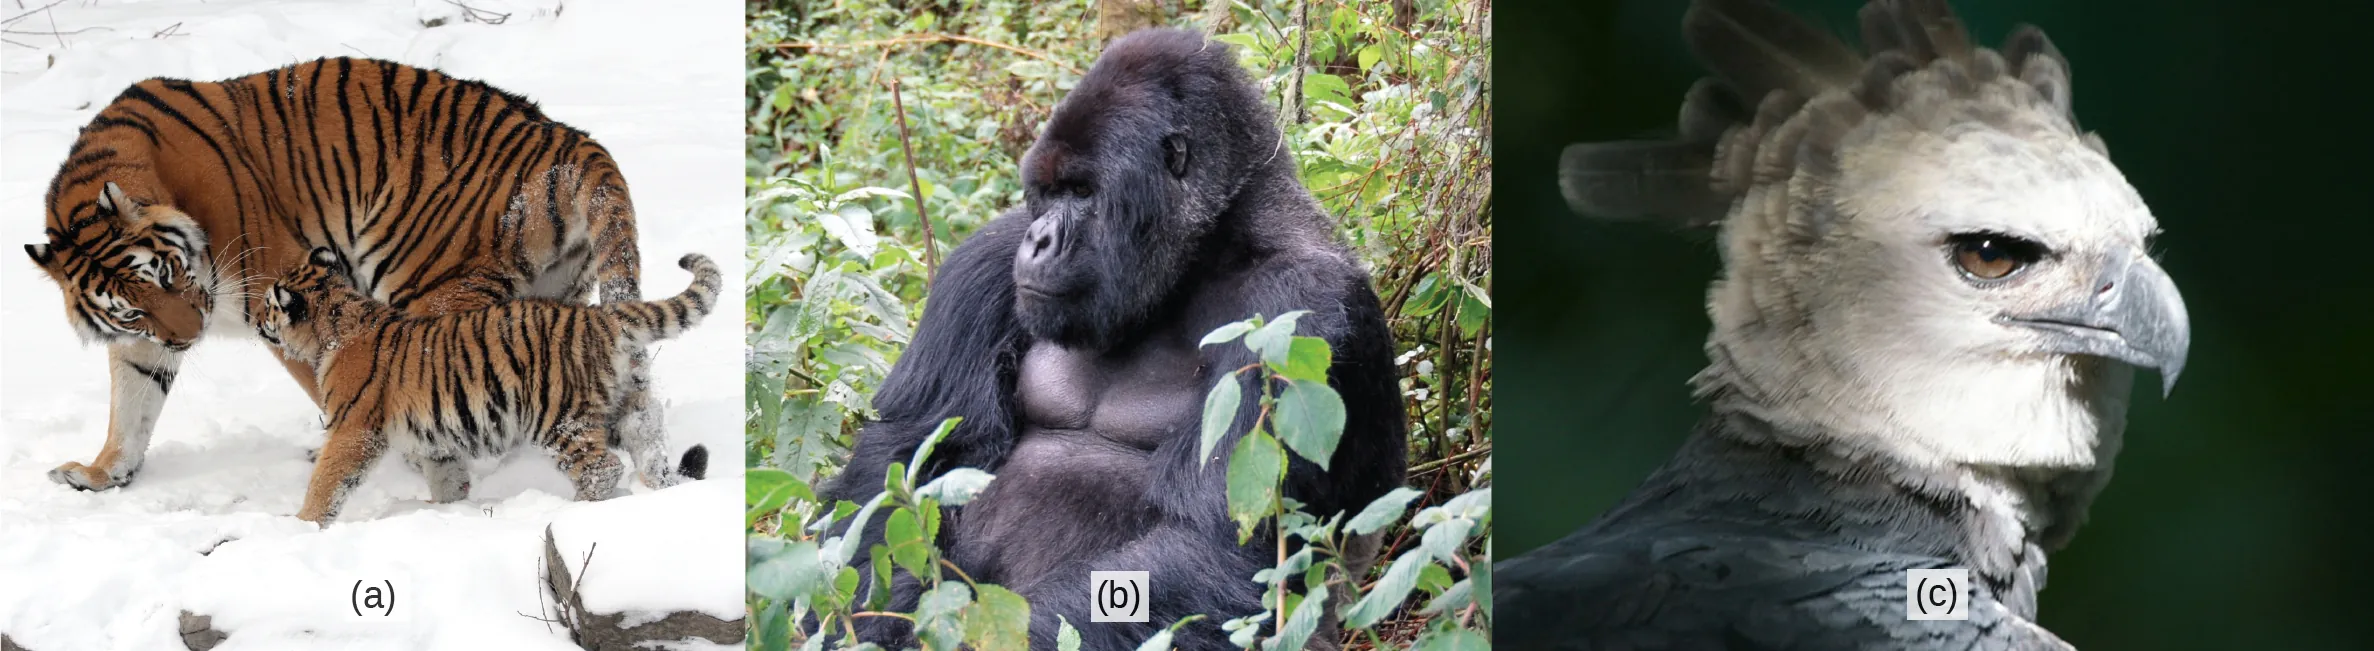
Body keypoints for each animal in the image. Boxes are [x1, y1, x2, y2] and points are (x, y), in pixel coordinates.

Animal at [21, 57, 680, 493]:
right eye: (133, 308)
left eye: (167, 274)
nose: (189, 337)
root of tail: (571, 140)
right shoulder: (142, 341)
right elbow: (130, 405)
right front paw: (101, 473)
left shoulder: (278, 290)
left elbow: (334, 385)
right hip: (555, 296)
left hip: (432, 285)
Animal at [256, 247, 721, 525]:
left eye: (268, 305)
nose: (257, 320)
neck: (335, 323)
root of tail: (599, 316)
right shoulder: (434, 438)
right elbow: (446, 477)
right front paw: (445, 509)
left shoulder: (353, 429)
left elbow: (327, 481)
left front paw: (302, 525)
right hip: (627, 406)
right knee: (651, 449)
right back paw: (662, 492)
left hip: (559, 417)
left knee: (602, 467)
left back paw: (571, 513)